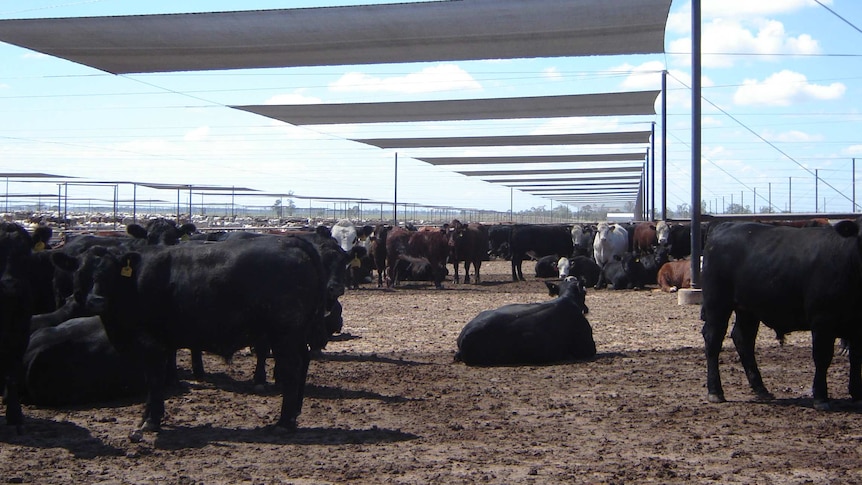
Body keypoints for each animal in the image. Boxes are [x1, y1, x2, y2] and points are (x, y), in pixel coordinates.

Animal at [704, 220, 862, 408]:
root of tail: (725, 225)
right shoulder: (822, 320)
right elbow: (822, 357)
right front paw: (821, 397)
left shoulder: (857, 326)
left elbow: (856, 358)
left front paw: (857, 394)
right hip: (717, 303)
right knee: (713, 339)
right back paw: (715, 391)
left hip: (748, 309)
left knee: (743, 339)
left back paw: (761, 389)